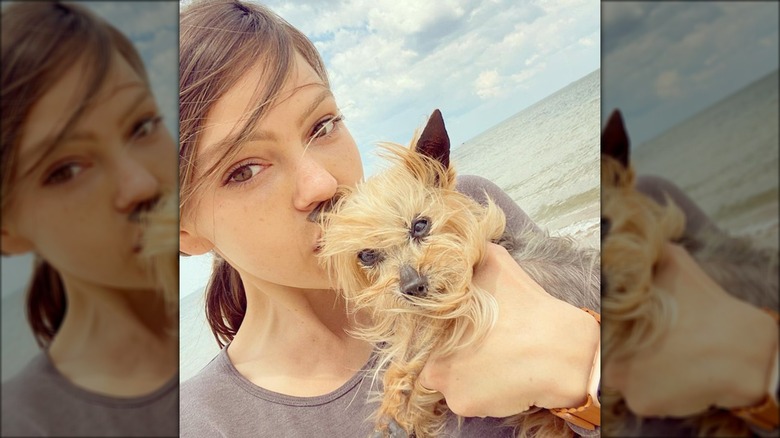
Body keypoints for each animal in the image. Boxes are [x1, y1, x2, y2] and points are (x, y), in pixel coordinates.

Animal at [316, 110, 596, 438]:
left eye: (420, 225)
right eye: (367, 255)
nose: (413, 286)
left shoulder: (464, 295)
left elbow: (417, 346)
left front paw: (400, 403)